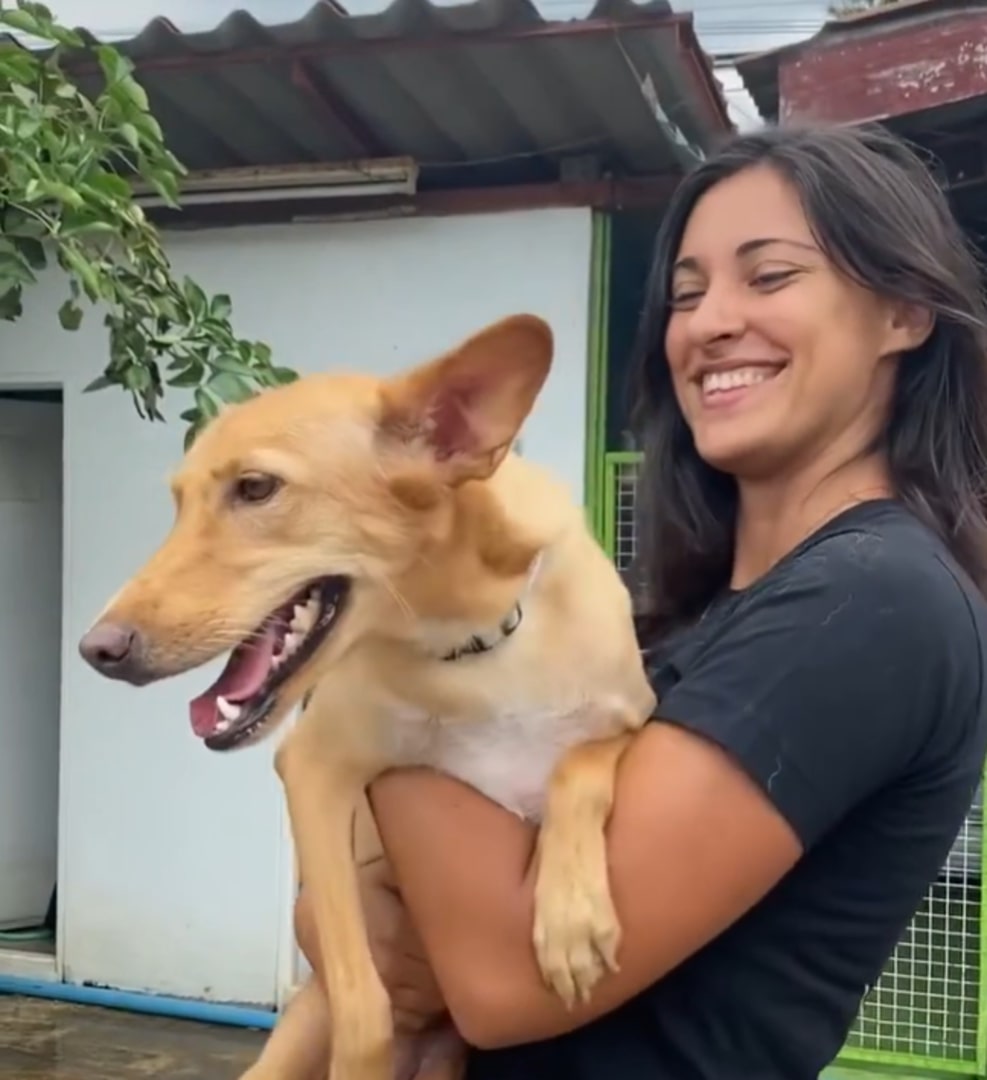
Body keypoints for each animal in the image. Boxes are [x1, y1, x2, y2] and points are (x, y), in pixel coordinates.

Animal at [76, 315, 652, 1080]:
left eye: (255, 488)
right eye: (178, 502)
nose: (97, 651)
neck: (472, 648)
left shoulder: (628, 721)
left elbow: (581, 765)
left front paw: (570, 918)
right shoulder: (314, 767)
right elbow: (362, 1002)